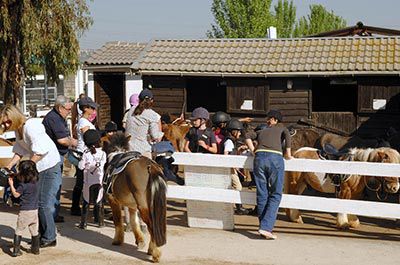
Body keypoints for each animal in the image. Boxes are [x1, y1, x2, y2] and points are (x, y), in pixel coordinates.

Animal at [103, 132, 167, 262]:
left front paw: (117, 240)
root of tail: (151, 166)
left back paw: (155, 253)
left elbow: (118, 221)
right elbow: (134, 222)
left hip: (143, 206)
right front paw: (140, 240)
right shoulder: (132, 205)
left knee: (152, 227)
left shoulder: (112, 200)